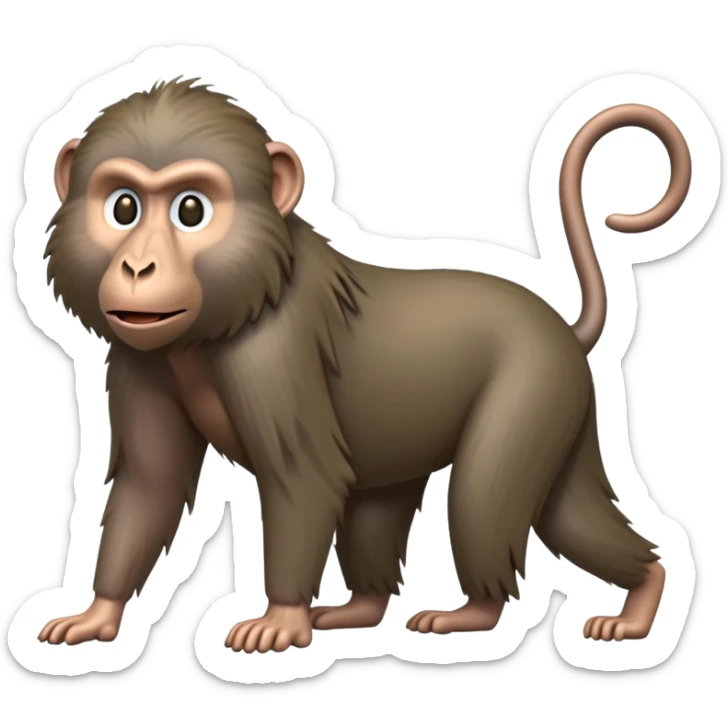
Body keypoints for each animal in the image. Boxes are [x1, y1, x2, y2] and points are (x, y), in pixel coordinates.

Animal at [34, 78, 690, 654]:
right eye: (123, 206)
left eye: (190, 210)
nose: (137, 267)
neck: (232, 309)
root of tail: (561, 327)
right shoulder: (140, 358)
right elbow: (152, 484)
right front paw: (98, 613)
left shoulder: (273, 353)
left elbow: (301, 476)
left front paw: (280, 620)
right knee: (543, 510)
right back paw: (363, 608)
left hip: (537, 388)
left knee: (484, 497)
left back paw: (487, 613)